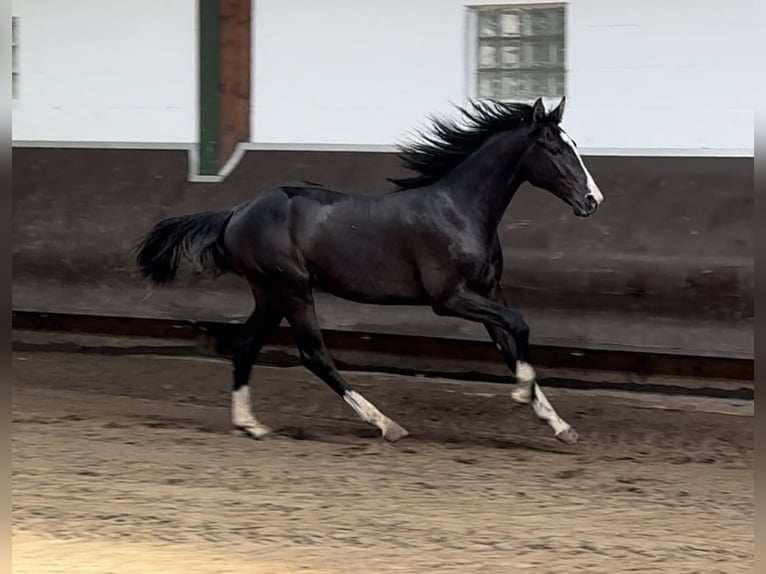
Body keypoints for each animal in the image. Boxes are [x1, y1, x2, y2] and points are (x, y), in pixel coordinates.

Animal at [138, 98, 608, 446]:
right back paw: (386, 424)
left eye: (573, 144)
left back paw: (250, 425)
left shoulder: (488, 290)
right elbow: (519, 325)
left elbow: (511, 341)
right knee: (314, 355)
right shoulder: (449, 298)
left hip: (270, 292)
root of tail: (236, 212)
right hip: (292, 288)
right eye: (554, 148)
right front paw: (521, 392)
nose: (593, 200)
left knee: (246, 344)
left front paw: (561, 426)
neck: (459, 210)